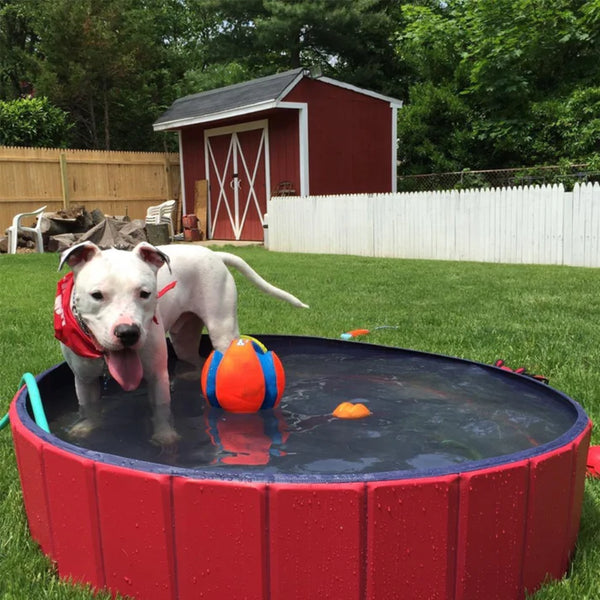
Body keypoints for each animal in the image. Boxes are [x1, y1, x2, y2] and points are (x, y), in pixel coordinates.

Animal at [55, 241, 310, 442]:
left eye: (144, 293)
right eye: (97, 295)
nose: (128, 332)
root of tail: (214, 254)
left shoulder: (157, 374)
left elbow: (161, 409)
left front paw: (165, 436)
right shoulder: (84, 379)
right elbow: (89, 408)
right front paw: (86, 428)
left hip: (223, 331)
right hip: (183, 340)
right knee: (196, 358)